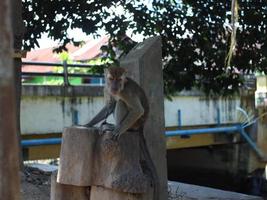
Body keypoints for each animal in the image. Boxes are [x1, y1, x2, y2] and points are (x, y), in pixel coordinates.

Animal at [84, 66, 159, 199]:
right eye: (111, 79)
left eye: (119, 79)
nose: (114, 86)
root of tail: (141, 126)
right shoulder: (107, 89)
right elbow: (108, 106)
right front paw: (89, 123)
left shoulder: (126, 92)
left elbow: (138, 110)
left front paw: (117, 129)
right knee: (115, 103)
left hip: (135, 123)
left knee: (121, 103)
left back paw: (114, 127)